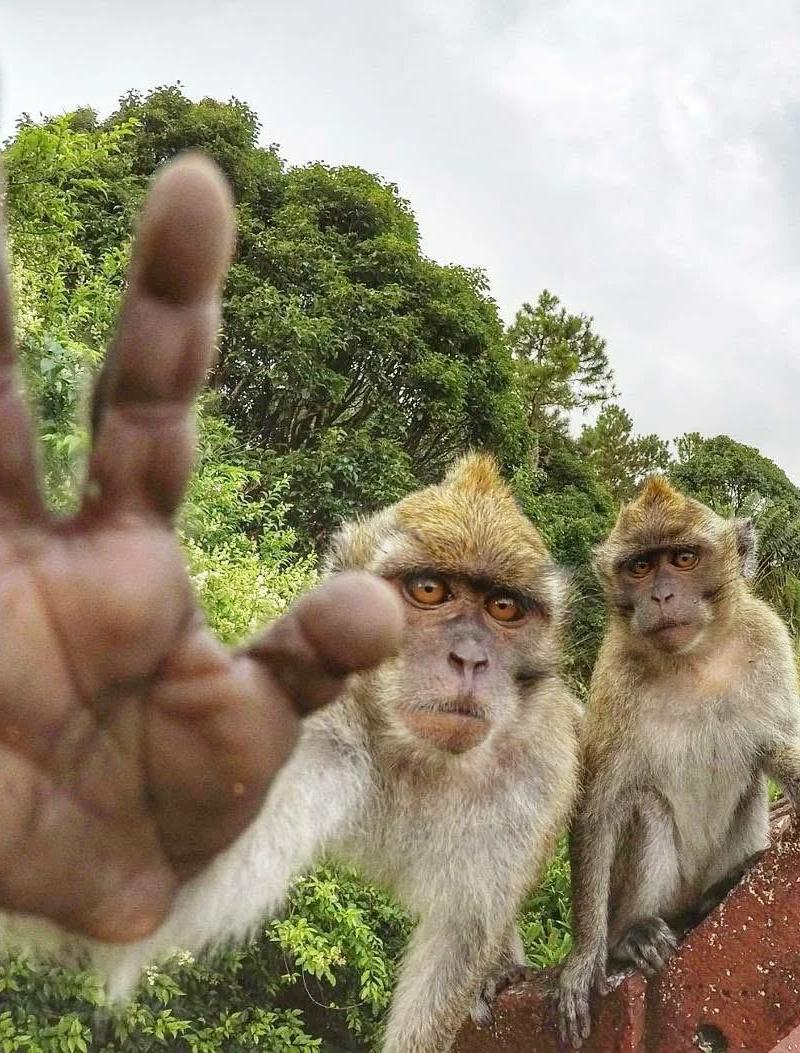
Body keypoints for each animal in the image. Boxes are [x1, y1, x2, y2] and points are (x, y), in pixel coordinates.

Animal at [557, 477, 800, 1049]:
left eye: (684, 558)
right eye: (641, 567)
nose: (662, 596)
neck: (694, 658)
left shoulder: (771, 642)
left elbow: (778, 746)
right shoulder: (613, 677)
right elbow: (600, 805)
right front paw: (584, 956)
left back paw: (720, 890)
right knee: (645, 807)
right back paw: (632, 937)